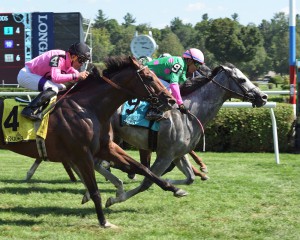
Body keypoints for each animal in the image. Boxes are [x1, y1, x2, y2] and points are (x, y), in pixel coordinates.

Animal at [0, 55, 188, 228]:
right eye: (149, 77)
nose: (170, 100)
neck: (87, 108)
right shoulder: (82, 155)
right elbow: (95, 190)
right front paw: (104, 221)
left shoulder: (106, 147)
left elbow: (143, 168)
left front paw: (175, 189)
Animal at [105, 62, 268, 207]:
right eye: (242, 80)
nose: (264, 97)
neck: (188, 115)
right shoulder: (165, 155)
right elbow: (147, 181)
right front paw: (115, 199)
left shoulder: (178, 154)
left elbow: (190, 178)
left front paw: (170, 181)